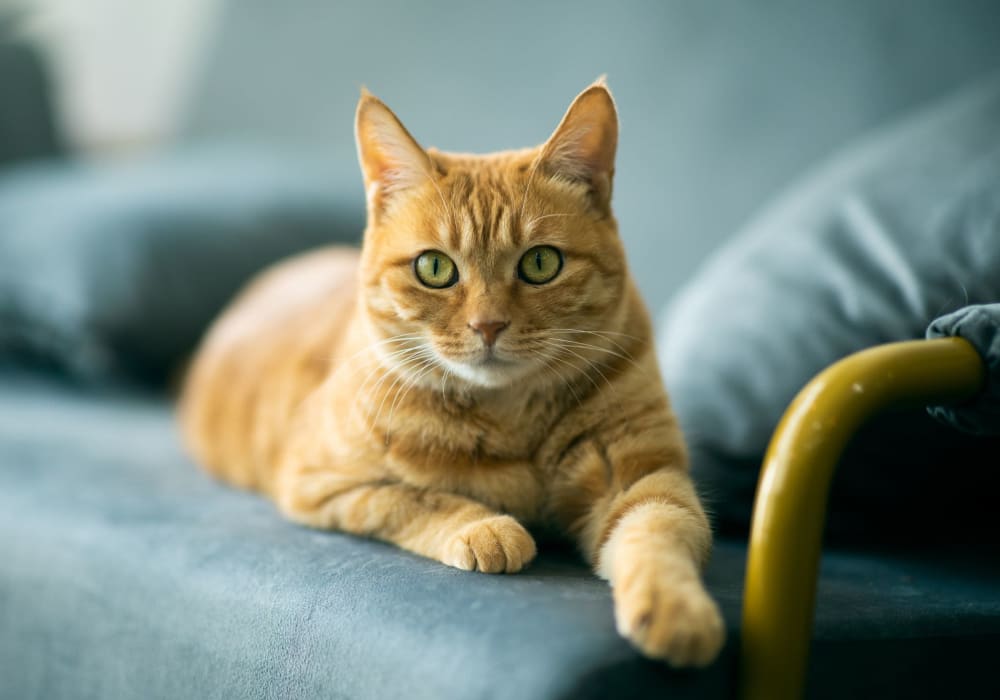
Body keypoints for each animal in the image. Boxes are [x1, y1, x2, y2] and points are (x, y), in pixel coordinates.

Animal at [180, 82, 724, 668]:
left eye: (541, 263)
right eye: (434, 268)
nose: (488, 325)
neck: (509, 416)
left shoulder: (643, 478)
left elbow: (659, 532)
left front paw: (677, 612)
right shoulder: (320, 483)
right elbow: (413, 498)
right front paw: (485, 527)